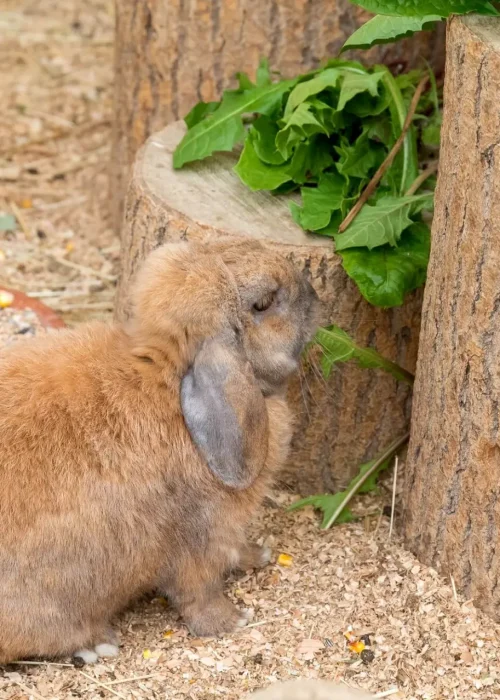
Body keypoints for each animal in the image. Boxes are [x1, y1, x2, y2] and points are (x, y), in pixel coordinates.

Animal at [0, 238, 318, 665]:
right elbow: (199, 592)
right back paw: (97, 643)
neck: (170, 380)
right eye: (263, 304)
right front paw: (231, 621)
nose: (315, 296)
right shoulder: (200, 541)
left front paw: (259, 554)